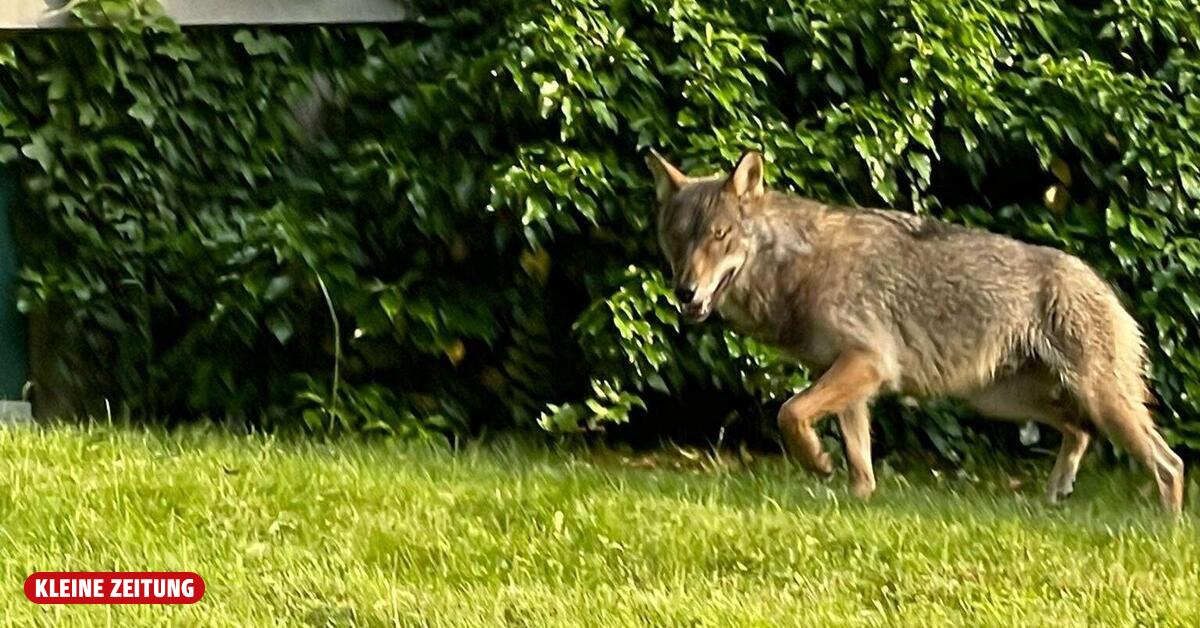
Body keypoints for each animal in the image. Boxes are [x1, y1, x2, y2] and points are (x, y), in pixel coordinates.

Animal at [647, 149, 1185, 514]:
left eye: (719, 236)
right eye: (675, 239)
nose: (686, 292)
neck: (798, 266)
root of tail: (1102, 282)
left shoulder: (867, 364)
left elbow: (789, 412)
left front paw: (817, 462)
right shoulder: (853, 383)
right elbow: (858, 463)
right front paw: (857, 500)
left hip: (1096, 400)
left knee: (1170, 464)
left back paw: (1164, 530)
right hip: (1003, 401)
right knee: (1080, 432)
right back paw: (1058, 493)